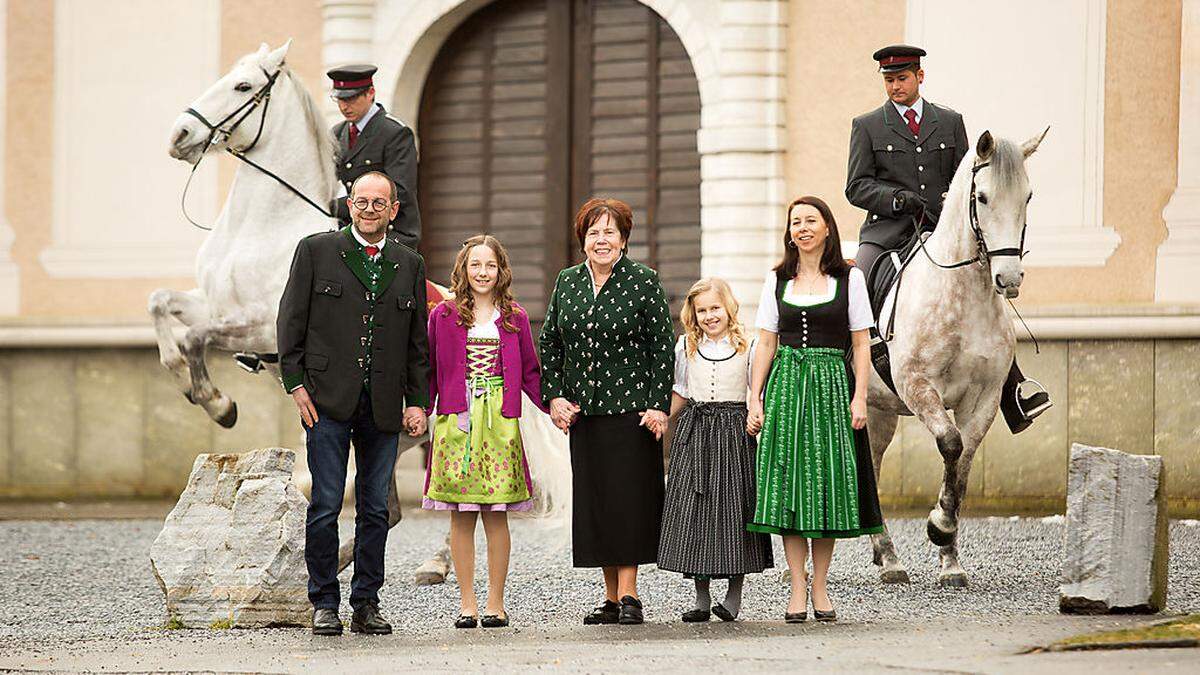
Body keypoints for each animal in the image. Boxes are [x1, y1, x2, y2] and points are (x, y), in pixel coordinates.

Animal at [157, 39, 568, 581]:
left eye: (243, 86)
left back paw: (434, 563)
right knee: (391, 508)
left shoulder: (260, 327)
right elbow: (162, 305)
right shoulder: (212, 303)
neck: (262, 229)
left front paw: (217, 403)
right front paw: (190, 383)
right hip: (397, 437)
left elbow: (193, 338)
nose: (180, 135)